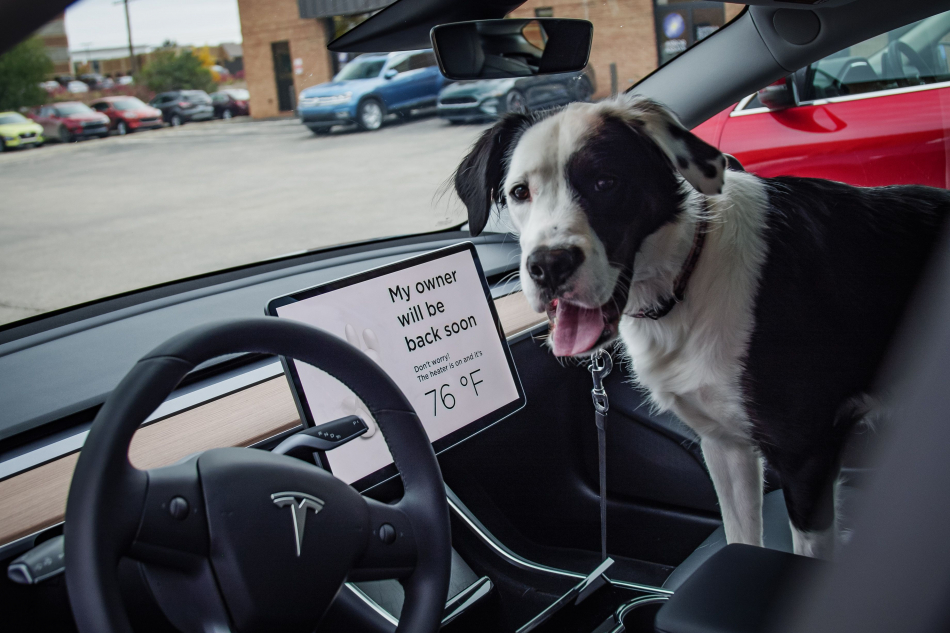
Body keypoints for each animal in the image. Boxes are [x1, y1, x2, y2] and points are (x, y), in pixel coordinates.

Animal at [454, 95, 950, 556]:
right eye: (520, 192)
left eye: (605, 182)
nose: (548, 266)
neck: (683, 278)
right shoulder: (725, 446)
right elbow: (742, 538)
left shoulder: (806, 455)